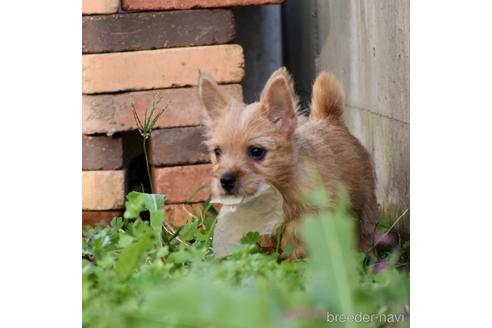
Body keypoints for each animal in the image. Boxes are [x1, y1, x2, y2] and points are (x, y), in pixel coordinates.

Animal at [198, 66, 378, 256]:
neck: (279, 188)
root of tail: (329, 118)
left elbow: (295, 233)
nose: (225, 180)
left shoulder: (311, 213)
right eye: (217, 152)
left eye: (256, 152)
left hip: (365, 200)